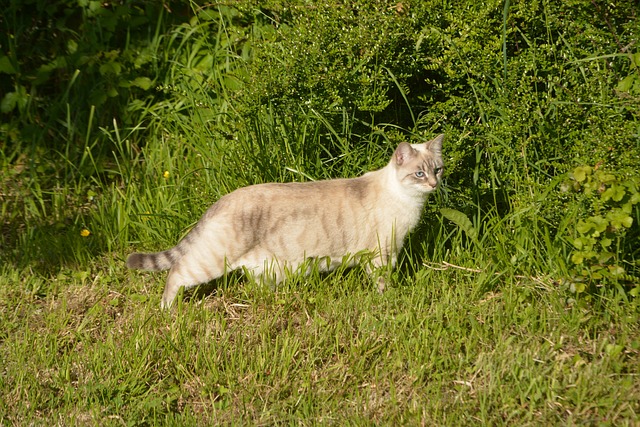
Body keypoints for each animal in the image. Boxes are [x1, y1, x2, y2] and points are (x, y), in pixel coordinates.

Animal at [125, 134, 444, 308]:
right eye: (419, 173)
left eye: (438, 169)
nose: (434, 185)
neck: (408, 202)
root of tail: (223, 199)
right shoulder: (381, 254)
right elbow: (382, 283)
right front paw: (388, 299)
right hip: (210, 261)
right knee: (175, 273)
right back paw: (168, 312)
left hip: (264, 269)